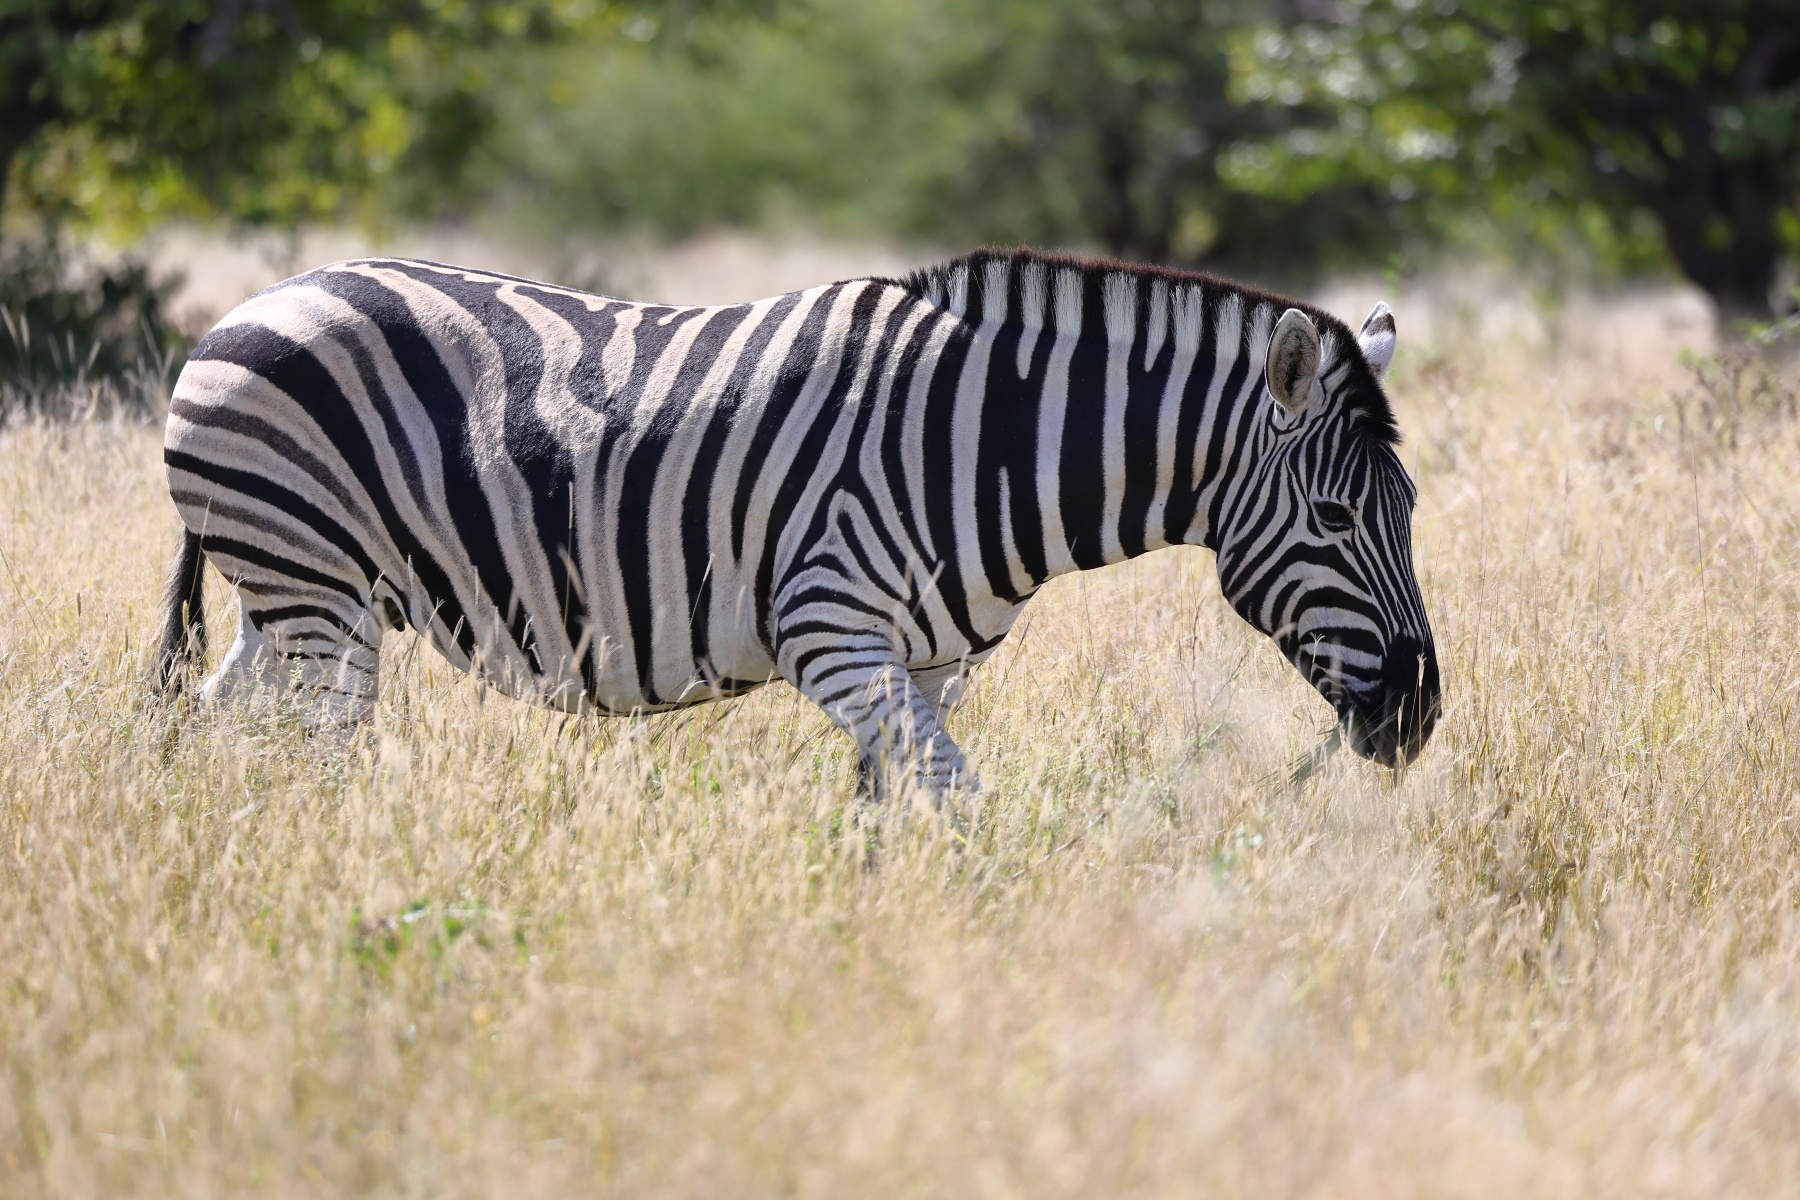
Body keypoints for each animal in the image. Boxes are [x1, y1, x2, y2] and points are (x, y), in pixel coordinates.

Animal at [156, 248, 1440, 791]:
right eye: (1336, 516)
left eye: (1409, 512)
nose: (1417, 718)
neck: (987, 441)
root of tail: (251, 304)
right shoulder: (833, 633)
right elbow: (956, 798)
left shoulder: (927, 666)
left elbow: (886, 808)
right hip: (316, 592)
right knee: (323, 758)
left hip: (290, 596)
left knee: (214, 727)